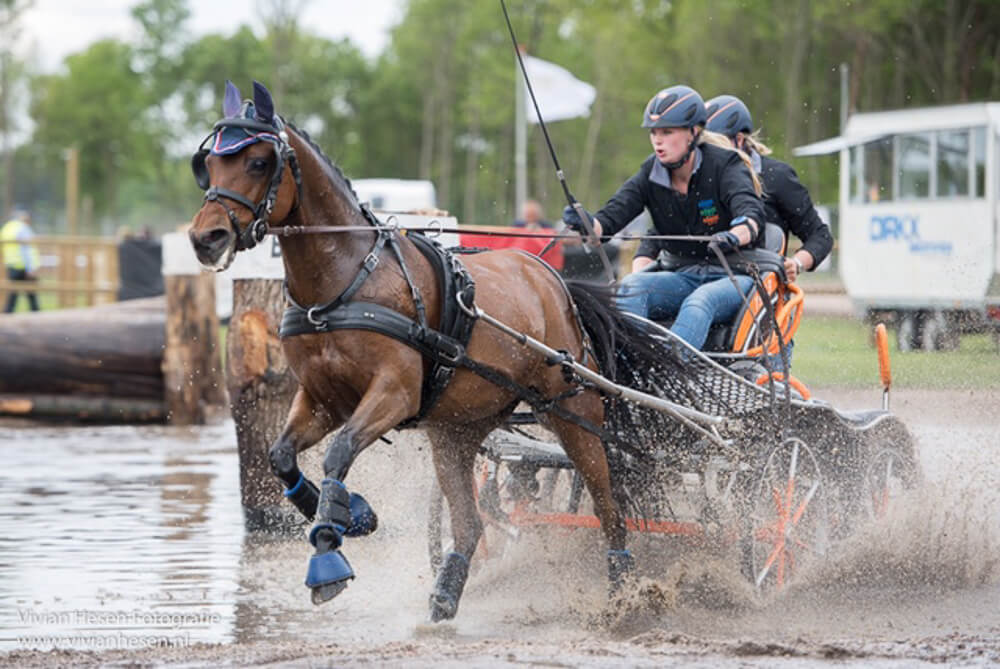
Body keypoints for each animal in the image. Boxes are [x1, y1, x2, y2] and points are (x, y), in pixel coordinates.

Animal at [188, 79, 672, 620]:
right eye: (208, 164)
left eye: (258, 162)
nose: (206, 237)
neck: (348, 279)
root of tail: (555, 281)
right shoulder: (322, 399)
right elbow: (281, 456)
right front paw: (352, 515)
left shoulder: (394, 393)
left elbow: (339, 452)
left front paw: (329, 551)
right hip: (458, 429)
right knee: (471, 522)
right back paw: (447, 591)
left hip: (575, 410)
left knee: (609, 507)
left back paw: (625, 593)